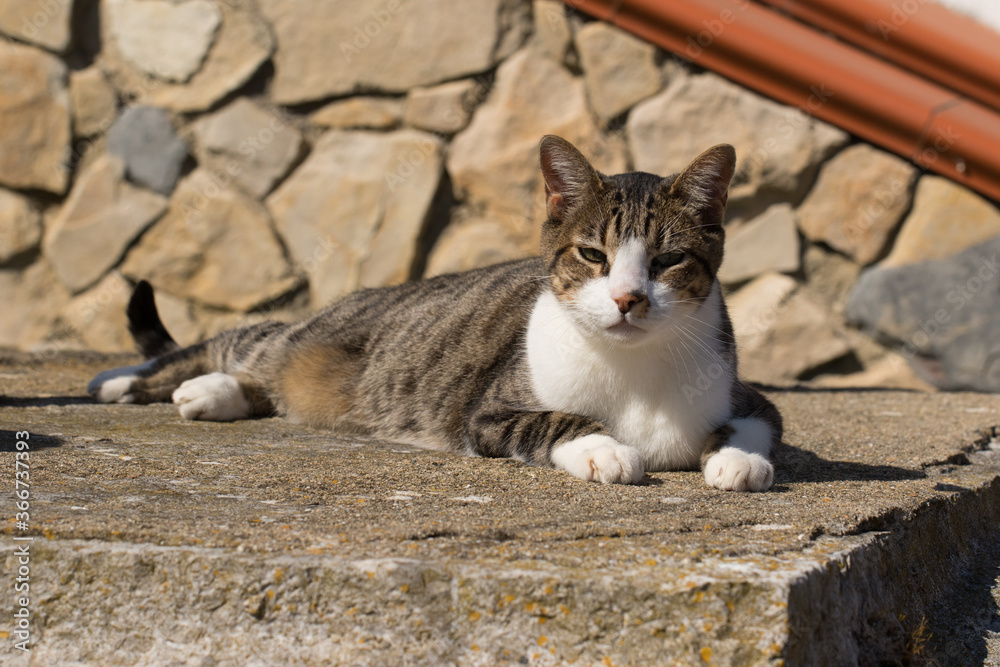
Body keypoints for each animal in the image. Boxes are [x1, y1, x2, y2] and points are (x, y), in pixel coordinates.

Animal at [88, 134, 780, 490]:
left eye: (668, 260)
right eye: (592, 255)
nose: (628, 298)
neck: (632, 370)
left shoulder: (749, 396)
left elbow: (754, 424)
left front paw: (738, 460)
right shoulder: (489, 413)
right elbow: (556, 420)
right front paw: (604, 448)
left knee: (262, 383)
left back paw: (214, 393)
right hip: (306, 334)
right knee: (235, 342)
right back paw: (126, 381)